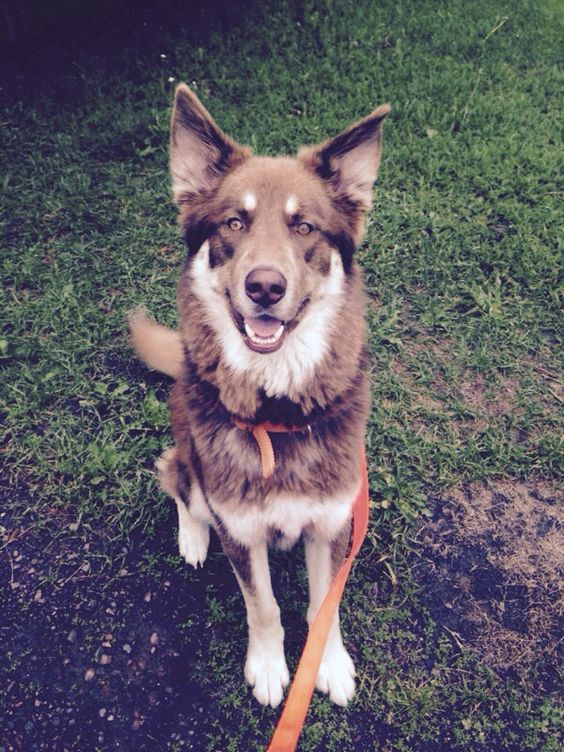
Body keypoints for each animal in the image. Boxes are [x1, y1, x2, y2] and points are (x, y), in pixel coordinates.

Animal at [130, 85, 390, 708]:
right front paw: (271, 667)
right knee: (176, 481)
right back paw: (191, 537)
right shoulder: (241, 532)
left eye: (305, 228)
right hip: (190, 466)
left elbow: (324, 606)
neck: (278, 411)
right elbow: (264, 606)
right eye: (234, 221)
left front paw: (328, 664)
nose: (266, 287)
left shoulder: (332, 522)